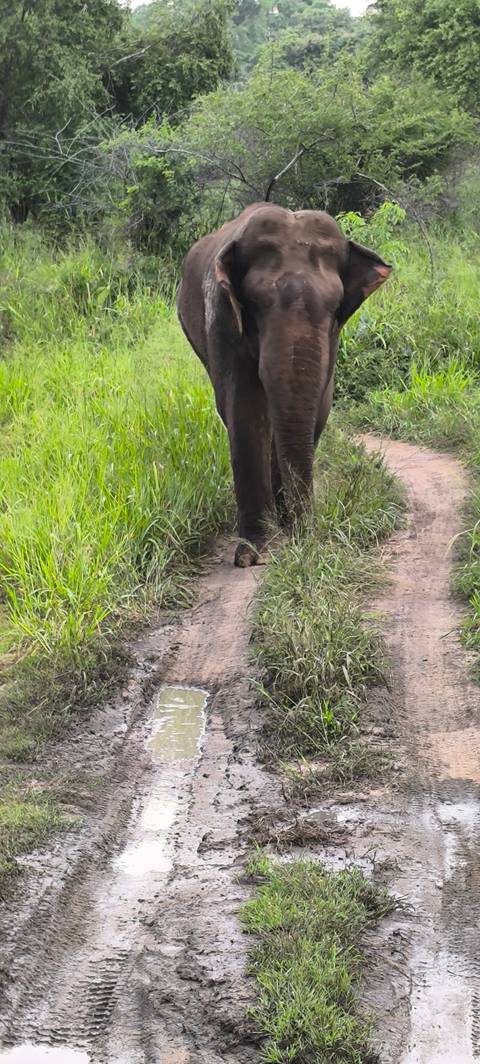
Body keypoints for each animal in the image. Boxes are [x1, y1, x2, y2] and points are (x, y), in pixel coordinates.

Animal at [177, 202, 392, 567]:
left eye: (336, 306)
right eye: (255, 304)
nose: (308, 537)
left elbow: (318, 403)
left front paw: (291, 530)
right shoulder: (222, 316)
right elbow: (244, 408)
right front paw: (250, 553)